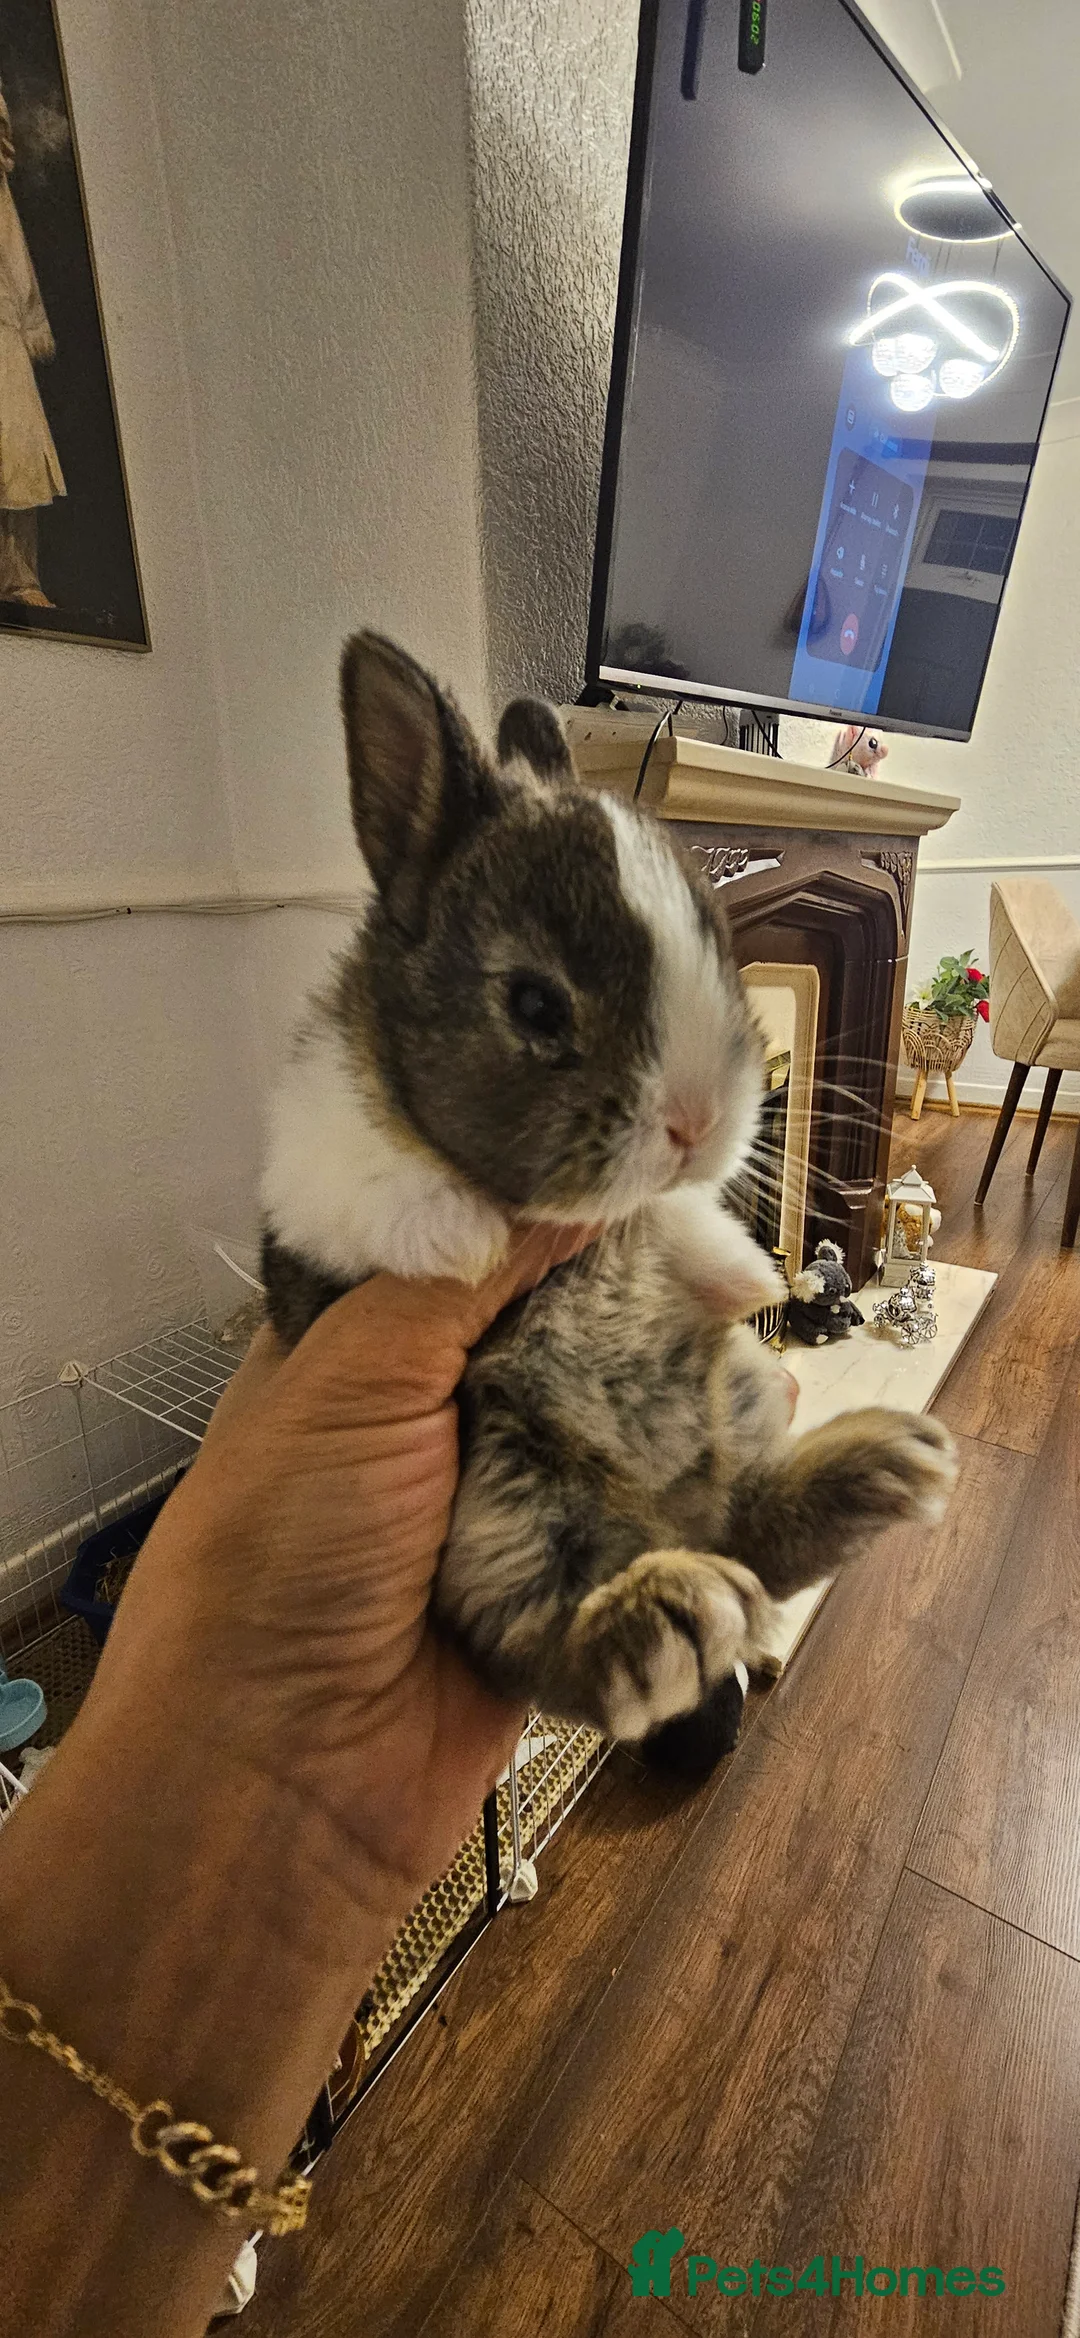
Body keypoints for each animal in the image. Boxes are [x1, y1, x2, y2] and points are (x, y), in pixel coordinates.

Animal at [260, 633, 957, 1752]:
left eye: (717, 942)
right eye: (535, 1004)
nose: (700, 1122)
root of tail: (666, 1517)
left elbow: (679, 1225)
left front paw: (744, 1269)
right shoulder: (324, 1173)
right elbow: (392, 1191)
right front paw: (460, 1239)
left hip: (733, 1399)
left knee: (754, 1529)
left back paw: (886, 1467)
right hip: (498, 1501)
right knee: (564, 1645)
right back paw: (669, 1614)